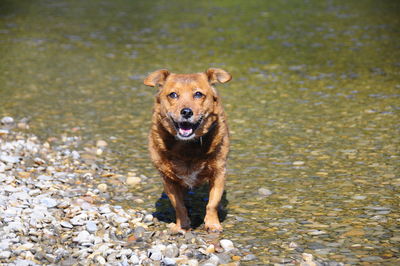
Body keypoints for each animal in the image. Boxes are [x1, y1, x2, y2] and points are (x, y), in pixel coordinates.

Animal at [144, 68, 231, 233]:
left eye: (198, 94)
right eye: (173, 94)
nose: (186, 112)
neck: (188, 146)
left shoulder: (219, 173)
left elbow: (212, 203)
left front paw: (212, 224)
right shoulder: (168, 179)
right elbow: (179, 205)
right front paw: (182, 226)